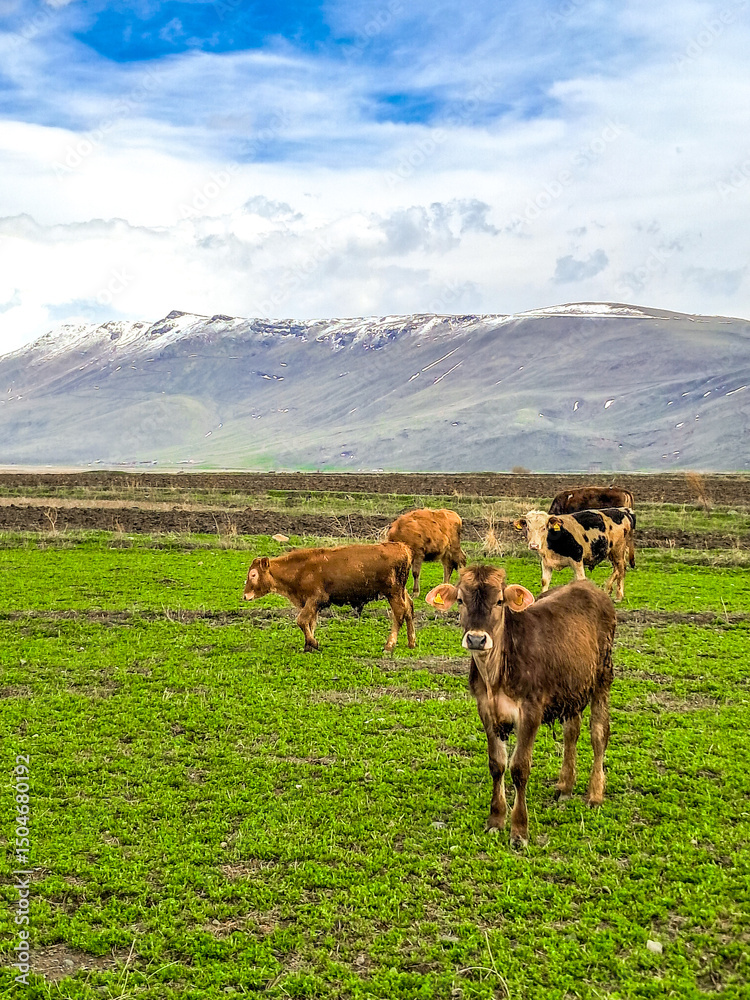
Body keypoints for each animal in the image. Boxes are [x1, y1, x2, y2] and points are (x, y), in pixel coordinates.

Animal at [242, 542, 416, 652]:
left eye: (253, 574)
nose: (245, 596)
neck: (300, 569)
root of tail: (402, 547)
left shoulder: (316, 599)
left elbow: (302, 620)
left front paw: (313, 643)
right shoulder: (310, 604)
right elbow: (310, 623)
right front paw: (308, 646)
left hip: (393, 593)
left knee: (399, 614)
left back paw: (389, 646)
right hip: (401, 591)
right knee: (409, 609)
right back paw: (411, 642)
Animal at [426, 568, 616, 847]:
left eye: (499, 601)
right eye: (460, 600)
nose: (476, 639)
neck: (496, 675)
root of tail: (588, 586)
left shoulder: (531, 711)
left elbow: (519, 768)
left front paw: (519, 831)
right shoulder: (486, 710)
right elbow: (497, 764)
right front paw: (495, 821)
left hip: (603, 676)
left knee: (599, 733)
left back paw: (595, 794)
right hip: (572, 686)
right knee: (571, 731)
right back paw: (565, 786)